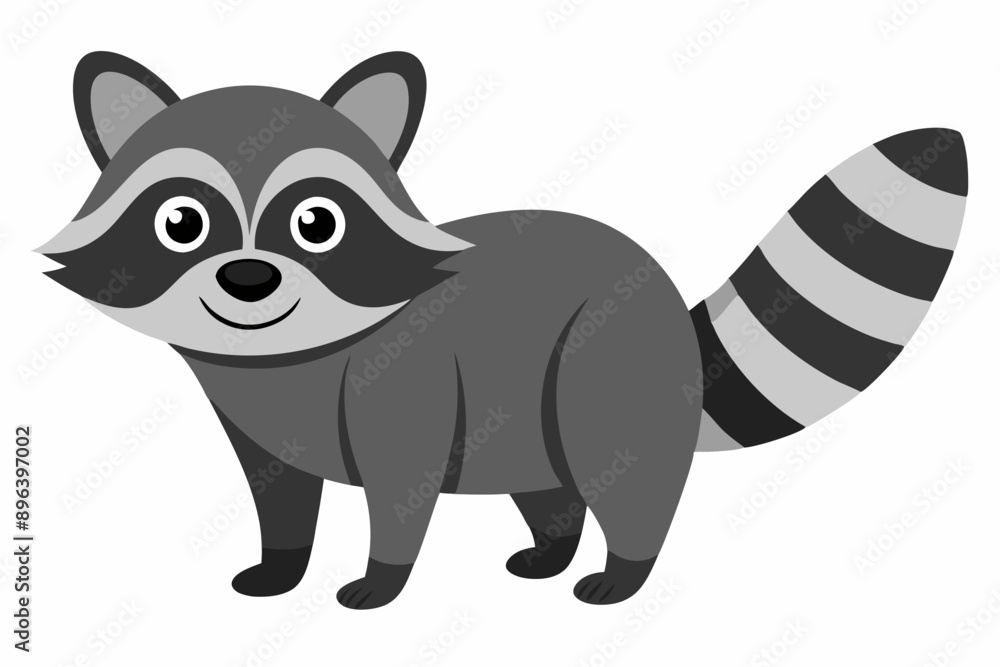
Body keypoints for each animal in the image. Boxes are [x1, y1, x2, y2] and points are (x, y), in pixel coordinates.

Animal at [41, 51, 969, 609]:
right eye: (181, 223)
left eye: (316, 223)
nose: (247, 279)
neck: (287, 354)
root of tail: (664, 299)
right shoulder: (258, 423)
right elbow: (280, 493)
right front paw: (283, 563)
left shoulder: (402, 381)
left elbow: (401, 493)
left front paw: (381, 578)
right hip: (524, 408)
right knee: (551, 482)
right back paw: (552, 547)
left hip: (600, 362)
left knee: (623, 478)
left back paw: (620, 573)